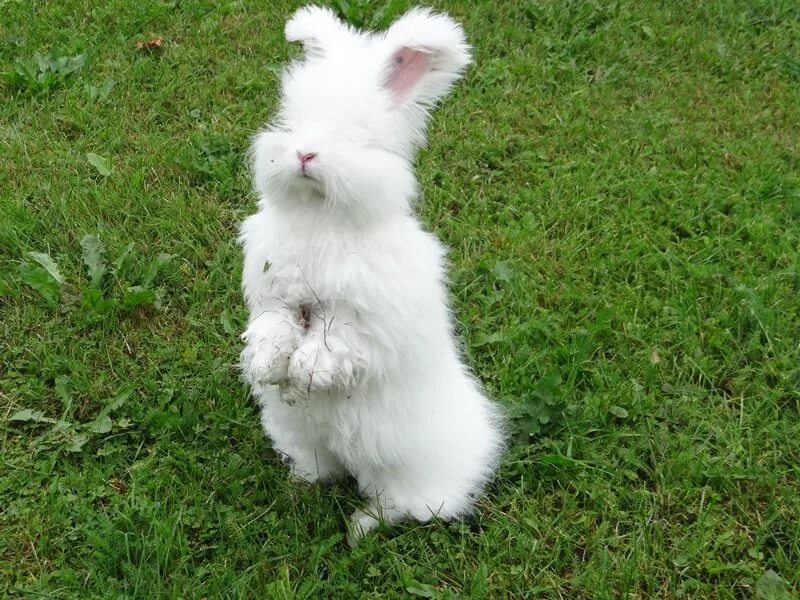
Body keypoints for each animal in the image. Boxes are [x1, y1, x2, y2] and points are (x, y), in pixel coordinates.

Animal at [236, 4, 506, 540]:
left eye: (356, 135)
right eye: (292, 121)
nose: (305, 154)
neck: (320, 216)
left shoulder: (367, 313)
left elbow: (336, 339)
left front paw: (307, 371)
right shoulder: (273, 293)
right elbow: (274, 326)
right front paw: (266, 365)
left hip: (401, 472)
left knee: (400, 506)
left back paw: (360, 529)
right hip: (308, 440)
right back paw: (303, 486)